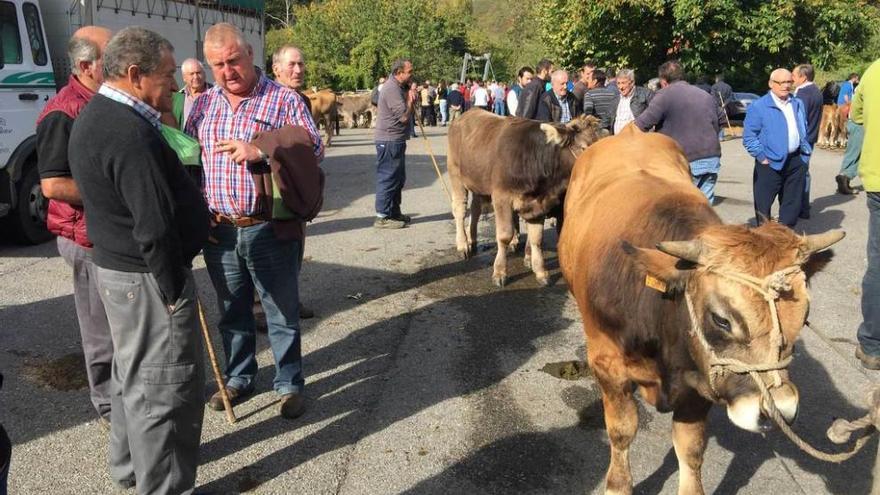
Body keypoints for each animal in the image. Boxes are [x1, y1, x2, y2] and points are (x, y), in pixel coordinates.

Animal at [446, 110, 604, 284]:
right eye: (584, 147)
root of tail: (467, 113)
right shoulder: (501, 197)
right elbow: (504, 236)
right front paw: (500, 272)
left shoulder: (539, 204)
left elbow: (536, 238)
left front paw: (540, 271)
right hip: (455, 174)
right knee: (460, 209)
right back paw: (463, 245)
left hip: (479, 183)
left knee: (475, 209)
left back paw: (472, 239)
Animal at [560, 126, 844, 495]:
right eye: (721, 320)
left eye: (804, 317)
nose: (779, 410)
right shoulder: (607, 366)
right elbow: (622, 431)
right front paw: (618, 485)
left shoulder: (703, 378)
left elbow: (690, 447)